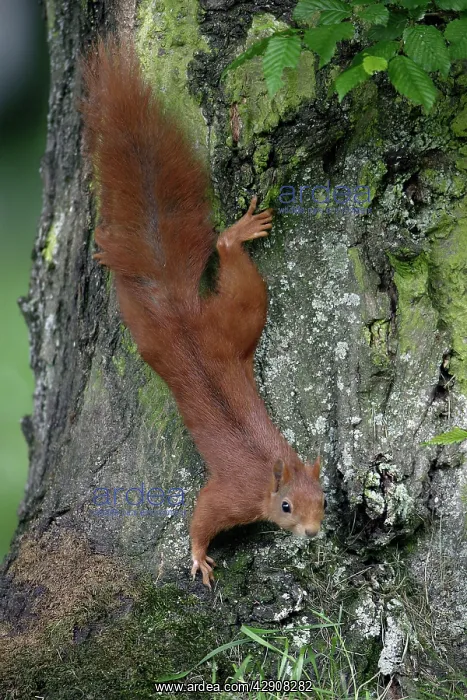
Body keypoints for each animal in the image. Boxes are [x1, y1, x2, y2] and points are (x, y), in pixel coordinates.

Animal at [81, 40, 325, 587]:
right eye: (284, 507)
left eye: (323, 500)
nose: (314, 532)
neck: (267, 472)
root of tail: (180, 315)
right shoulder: (232, 494)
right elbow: (203, 515)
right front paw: (197, 556)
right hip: (194, 322)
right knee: (214, 258)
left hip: (233, 322)